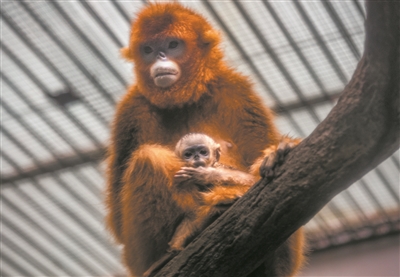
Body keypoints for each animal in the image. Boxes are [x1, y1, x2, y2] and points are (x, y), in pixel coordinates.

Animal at [104, 3, 304, 274]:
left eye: (172, 45)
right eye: (148, 50)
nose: (160, 57)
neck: (184, 100)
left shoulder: (235, 87)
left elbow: (257, 166)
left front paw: (277, 153)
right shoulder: (130, 109)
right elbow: (117, 223)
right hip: (137, 259)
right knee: (148, 157)